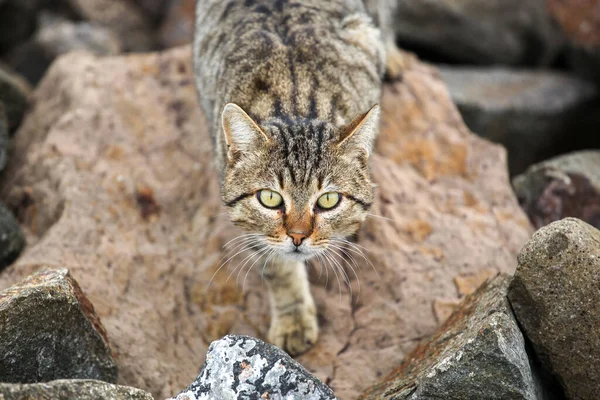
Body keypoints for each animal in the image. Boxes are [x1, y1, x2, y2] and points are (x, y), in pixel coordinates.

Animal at [195, 0, 400, 356]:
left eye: (329, 200)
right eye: (270, 198)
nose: (298, 236)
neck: (296, 102)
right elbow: (278, 268)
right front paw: (293, 320)